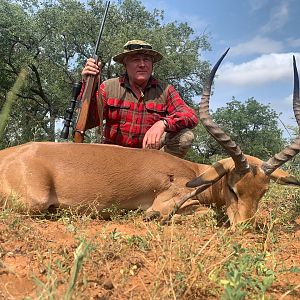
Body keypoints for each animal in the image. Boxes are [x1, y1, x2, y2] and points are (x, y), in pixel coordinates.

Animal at [0, 51, 298, 226]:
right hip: (35, 202)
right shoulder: (168, 202)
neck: (193, 172)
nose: (245, 226)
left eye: (263, 191)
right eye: (234, 189)